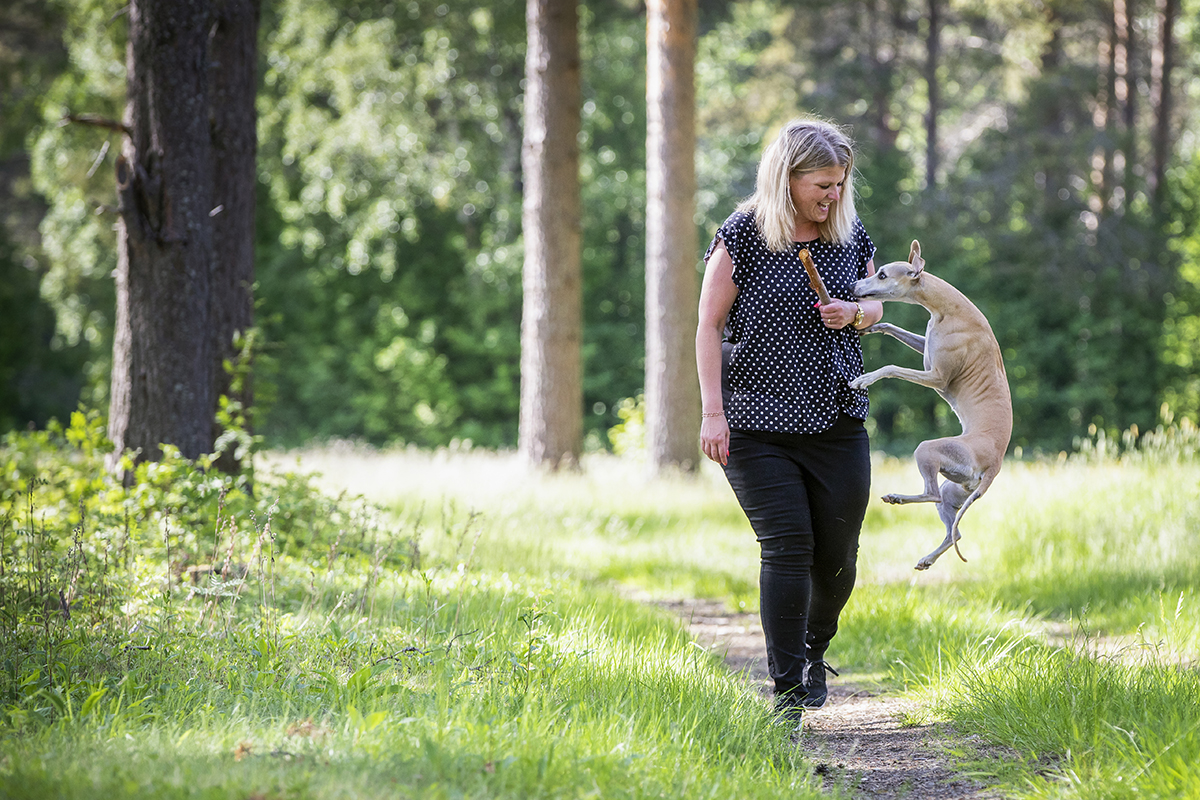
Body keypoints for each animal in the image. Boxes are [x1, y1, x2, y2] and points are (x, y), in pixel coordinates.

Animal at [849, 242, 1008, 568]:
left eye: (882, 274)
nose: (851, 287)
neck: (948, 309)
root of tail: (994, 465)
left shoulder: (937, 376)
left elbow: (891, 367)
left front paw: (864, 379)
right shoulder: (926, 348)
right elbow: (891, 326)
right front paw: (869, 328)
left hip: (930, 451)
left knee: (931, 494)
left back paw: (897, 498)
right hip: (955, 490)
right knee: (954, 531)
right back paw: (927, 558)